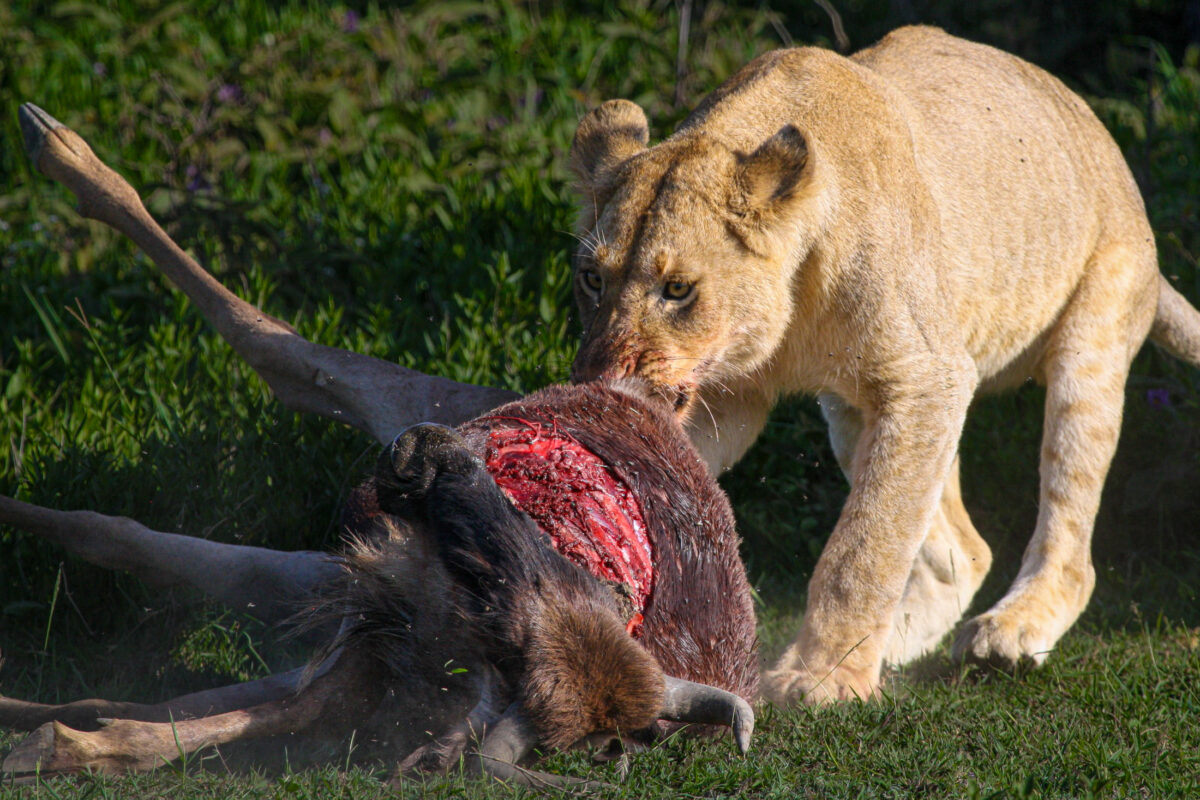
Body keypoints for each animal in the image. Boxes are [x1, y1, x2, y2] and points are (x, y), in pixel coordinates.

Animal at [566, 25, 1200, 704]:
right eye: (592, 279)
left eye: (678, 289)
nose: (600, 382)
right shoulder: (735, 395)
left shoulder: (929, 376)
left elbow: (865, 547)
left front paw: (820, 678)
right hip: (855, 410)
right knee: (962, 550)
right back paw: (892, 647)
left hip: (1089, 342)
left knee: (1068, 536)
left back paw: (1006, 634)